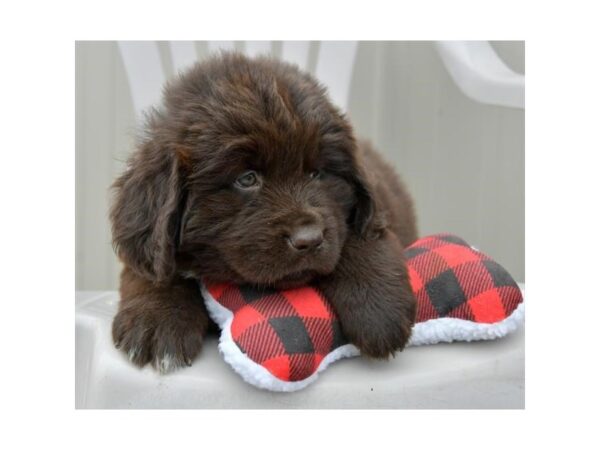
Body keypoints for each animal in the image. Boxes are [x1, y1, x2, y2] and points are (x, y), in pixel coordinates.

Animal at [110, 51, 418, 372]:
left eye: (317, 173)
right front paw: (156, 320)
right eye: (247, 179)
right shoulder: (147, 244)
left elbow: (358, 236)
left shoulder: (372, 214)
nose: (308, 239)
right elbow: (153, 270)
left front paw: (379, 312)